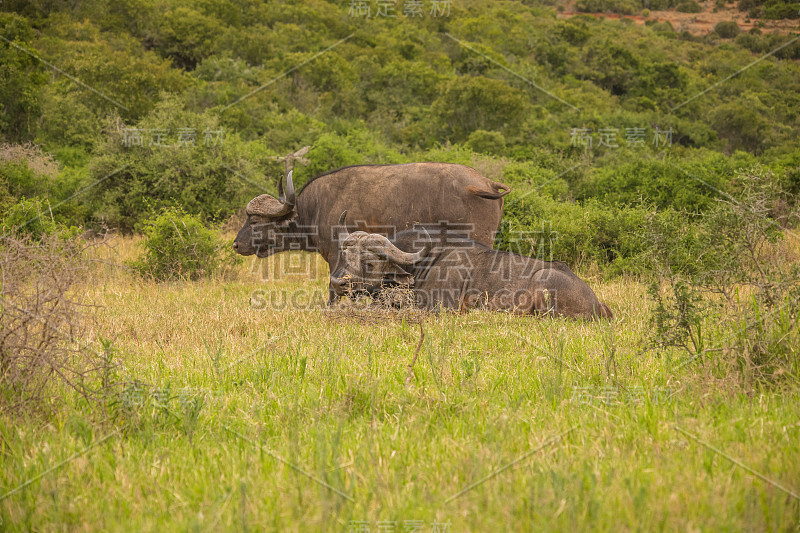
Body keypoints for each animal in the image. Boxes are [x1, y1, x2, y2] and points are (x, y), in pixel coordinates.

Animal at [328, 213, 616, 320]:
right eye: (344, 256)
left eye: (369, 262)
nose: (338, 283)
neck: (421, 263)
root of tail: (598, 303)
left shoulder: (440, 307)